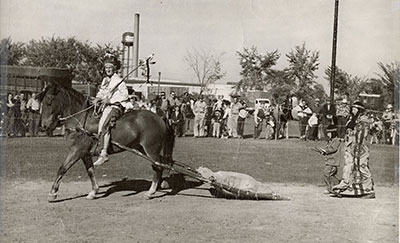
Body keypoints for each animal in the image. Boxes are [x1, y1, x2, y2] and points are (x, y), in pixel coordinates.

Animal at [39, 81, 176, 201]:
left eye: (49, 102)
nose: (44, 126)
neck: (81, 119)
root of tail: (160, 117)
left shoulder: (77, 150)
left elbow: (62, 168)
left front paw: (52, 193)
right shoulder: (85, 153)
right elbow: (90, 171)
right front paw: (94, 191)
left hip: (151, 150)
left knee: (158, 167)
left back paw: (151, 192)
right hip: (143, 149)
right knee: (163, 164)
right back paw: (162, 184)